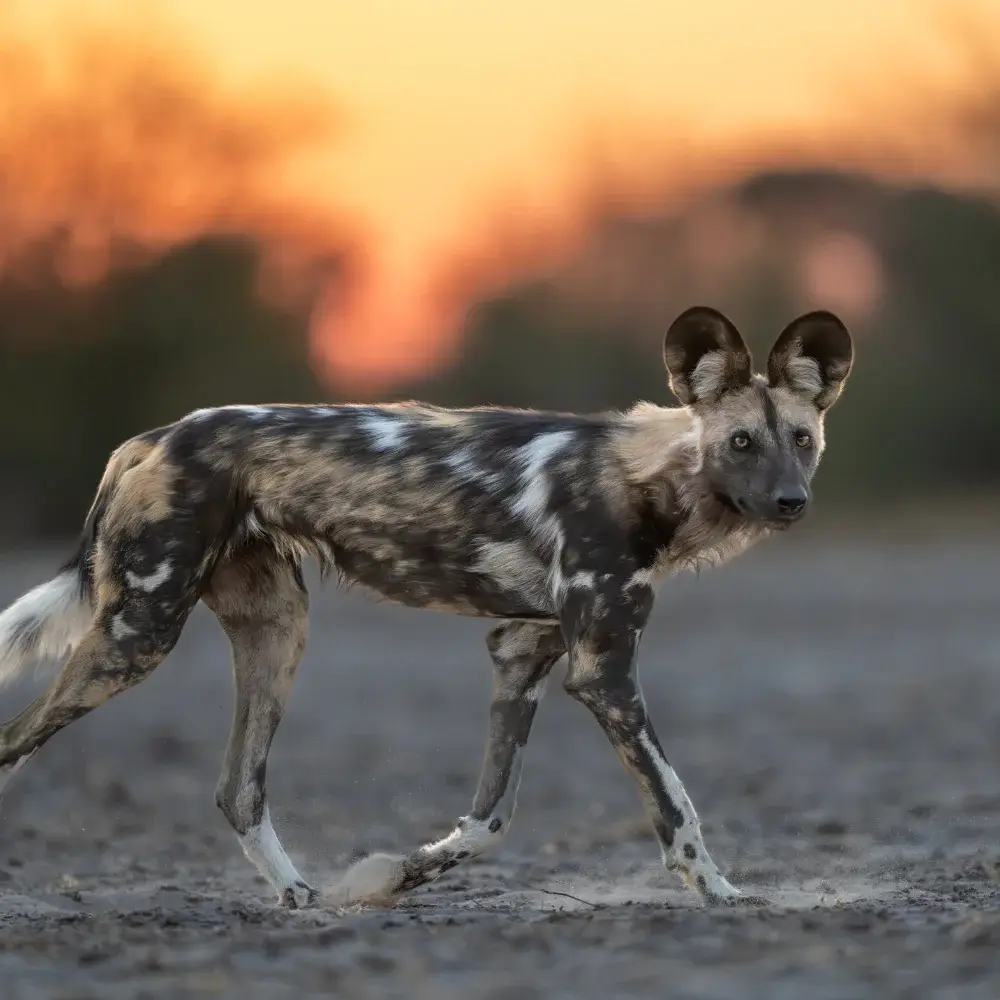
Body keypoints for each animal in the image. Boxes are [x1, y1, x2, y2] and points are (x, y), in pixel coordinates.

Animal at [0, 306, 852, 909]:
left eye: (802, 440)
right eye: (741, 442)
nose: (791, 502)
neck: (648, 480)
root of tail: (147, 440)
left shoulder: (523, 654)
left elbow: (488, 820)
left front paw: (391, 877)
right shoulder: (604, 674)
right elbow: (677, 804)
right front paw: (722, 893)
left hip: (276, 633)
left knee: (238, 790)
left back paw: (301, 896)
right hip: (137, 634)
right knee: (16, 742)